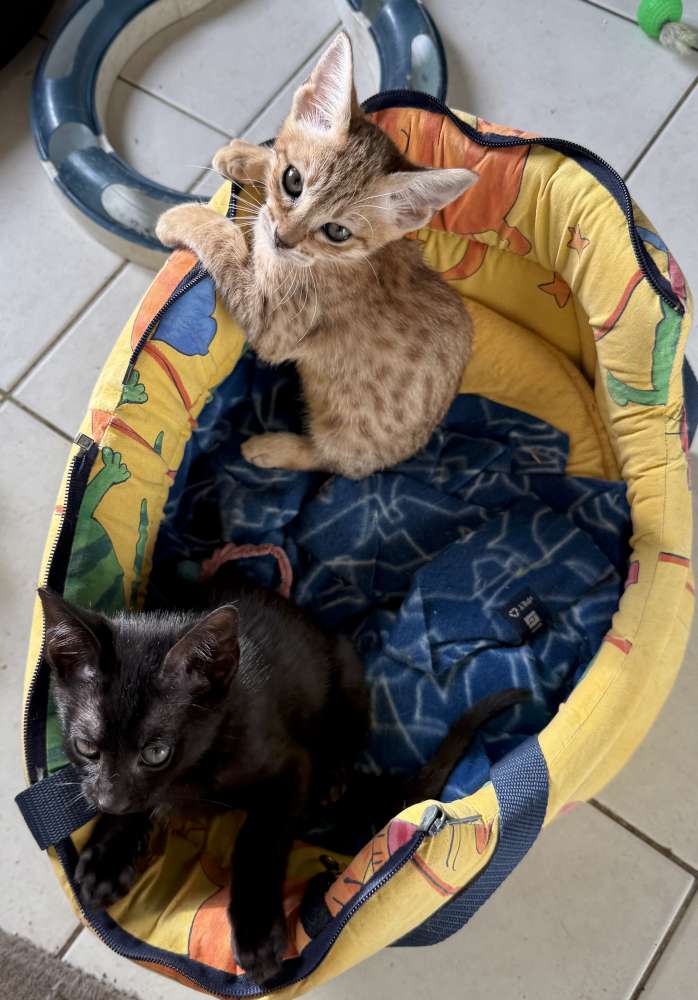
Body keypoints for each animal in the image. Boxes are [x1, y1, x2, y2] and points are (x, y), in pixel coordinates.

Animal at [39, 571, 525, 985]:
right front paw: (108, 855)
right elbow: (144, 806)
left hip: (347, 676)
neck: (197, 764)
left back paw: (331, 783)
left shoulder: (290, 766)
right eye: (86, 747)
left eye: (156, 752)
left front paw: (256, 934)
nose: (109, 800)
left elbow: (257, 839)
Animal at [155, 32, 477, 480]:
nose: (283, 238)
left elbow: (227, 241)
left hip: (348, 436)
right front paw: (245, 156)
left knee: (331, 460)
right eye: (292, 180)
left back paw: (272, 448)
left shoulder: (273, 326)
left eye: (337, 231)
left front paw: (183, 217)